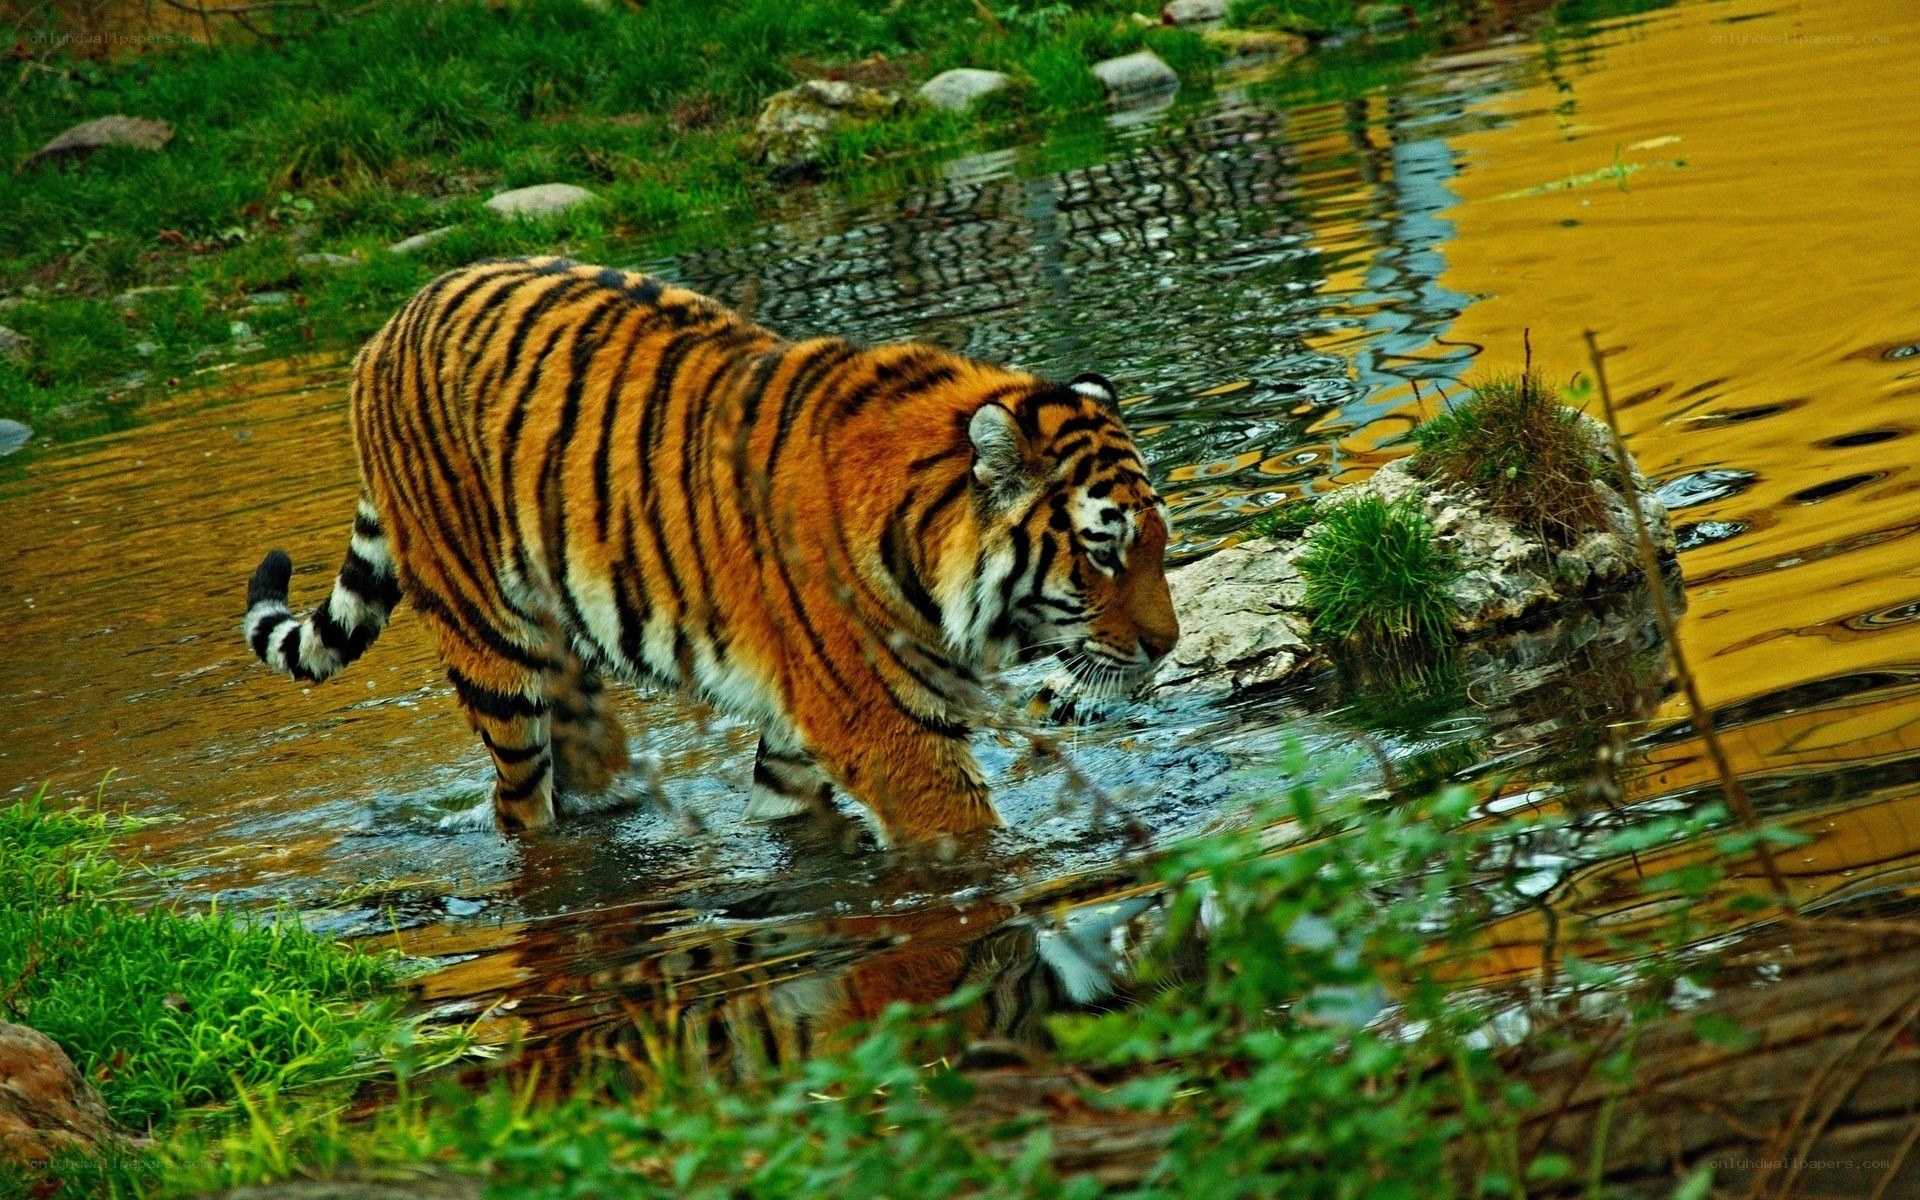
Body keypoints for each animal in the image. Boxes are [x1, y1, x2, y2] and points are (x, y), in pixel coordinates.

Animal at [240, 256, 1178, 845]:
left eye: (1160, 542)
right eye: (1103, 551)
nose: (1167, 645)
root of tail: (386, 328)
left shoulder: (805, 729)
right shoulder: (889, 730)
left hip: (565, 661)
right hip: (491, 648)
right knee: (517, 808)